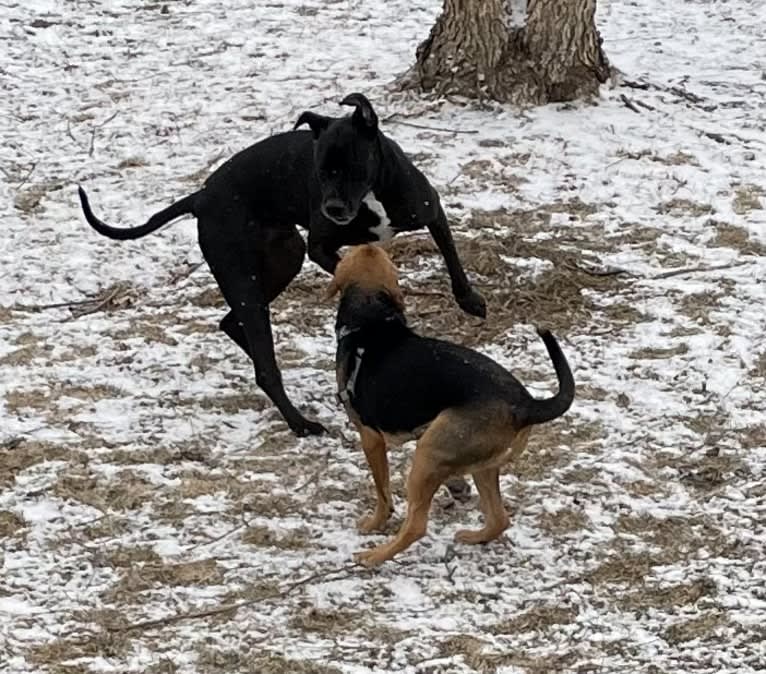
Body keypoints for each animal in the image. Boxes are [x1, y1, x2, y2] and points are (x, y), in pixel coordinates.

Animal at [330, 244, 576, 564]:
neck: (373, 317)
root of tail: (525, 404)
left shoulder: (370, 438)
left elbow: (382, 492)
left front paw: (374, 523)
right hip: (476, 461)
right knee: (499, 518)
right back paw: (474, 535)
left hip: (428, 452)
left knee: (417, 526)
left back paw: (375, 555)